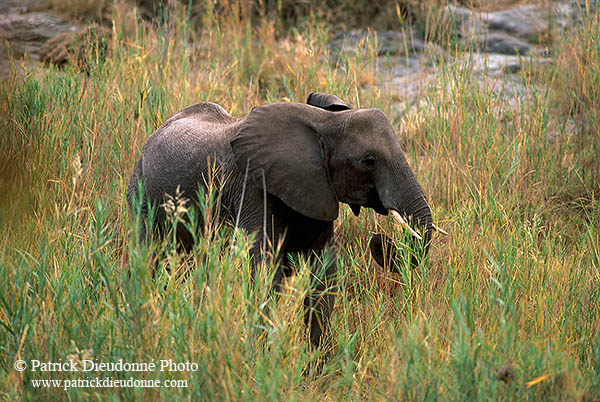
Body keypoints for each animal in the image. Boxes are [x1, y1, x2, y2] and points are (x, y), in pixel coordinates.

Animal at [127, 92, 432, 348]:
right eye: (368, 161)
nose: (380, 240)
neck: (324, 122)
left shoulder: (317, 189)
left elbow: (323, 274)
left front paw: (316, 367)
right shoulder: (253, 186)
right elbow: (264, 269)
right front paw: (261, 358)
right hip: (140, 192)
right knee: (150, 255)